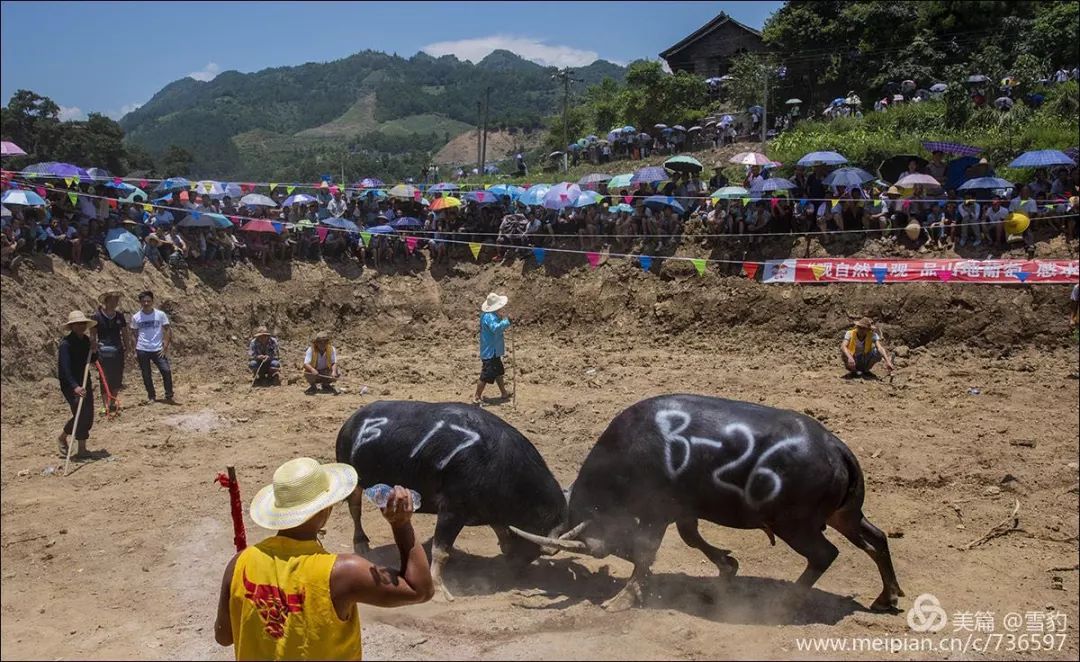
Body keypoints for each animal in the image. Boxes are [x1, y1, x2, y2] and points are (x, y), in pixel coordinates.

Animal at [334, 399, 565, 600]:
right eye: (535, 543)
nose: (518, 570)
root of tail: (350, 422)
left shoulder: (487, 511)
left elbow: (504, 536)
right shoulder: (451, 511)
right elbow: (441, 552)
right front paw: (438, 588)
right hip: (354, 481)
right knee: (355, 508)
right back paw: (361, 543)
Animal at [514, 395, 902, 613]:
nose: (608, 550)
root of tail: (836, 447)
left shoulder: (657, 513)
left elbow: (647, 551)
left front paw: (625, 597)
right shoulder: (684, 511)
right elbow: (691, 538)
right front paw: (727, 566)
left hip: (795, 525)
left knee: (824, 555)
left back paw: (786, 602)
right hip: (845, 515)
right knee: (877, 539)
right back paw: (887, 596)